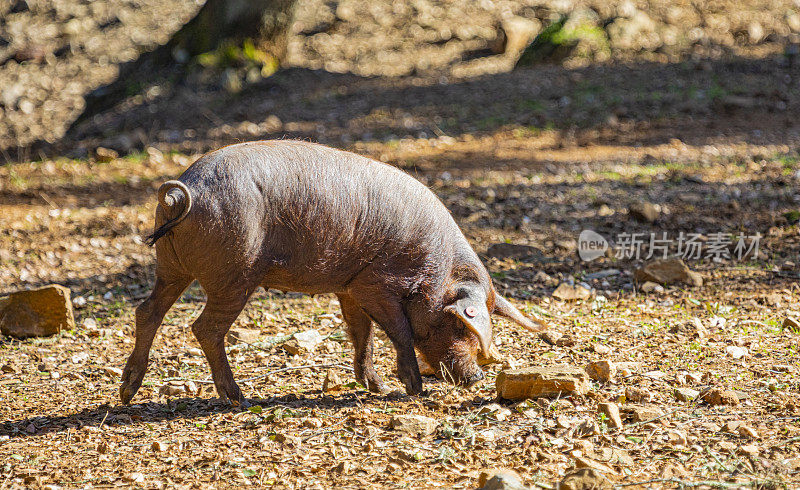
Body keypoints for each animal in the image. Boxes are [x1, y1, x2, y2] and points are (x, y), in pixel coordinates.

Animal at [120, 139, 544, 406]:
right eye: (459, 325)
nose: (476, 378)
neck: (431, 266)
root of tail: (183, 192)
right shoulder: (376, 283)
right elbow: (400, 331)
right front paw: (412, 389)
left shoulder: (351, 286)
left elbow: (361, 334)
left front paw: (376, 387)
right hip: (234, 273)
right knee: (203, 328)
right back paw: (238, 398)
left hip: (170, 266)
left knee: (147, 311)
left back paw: (126, 392)